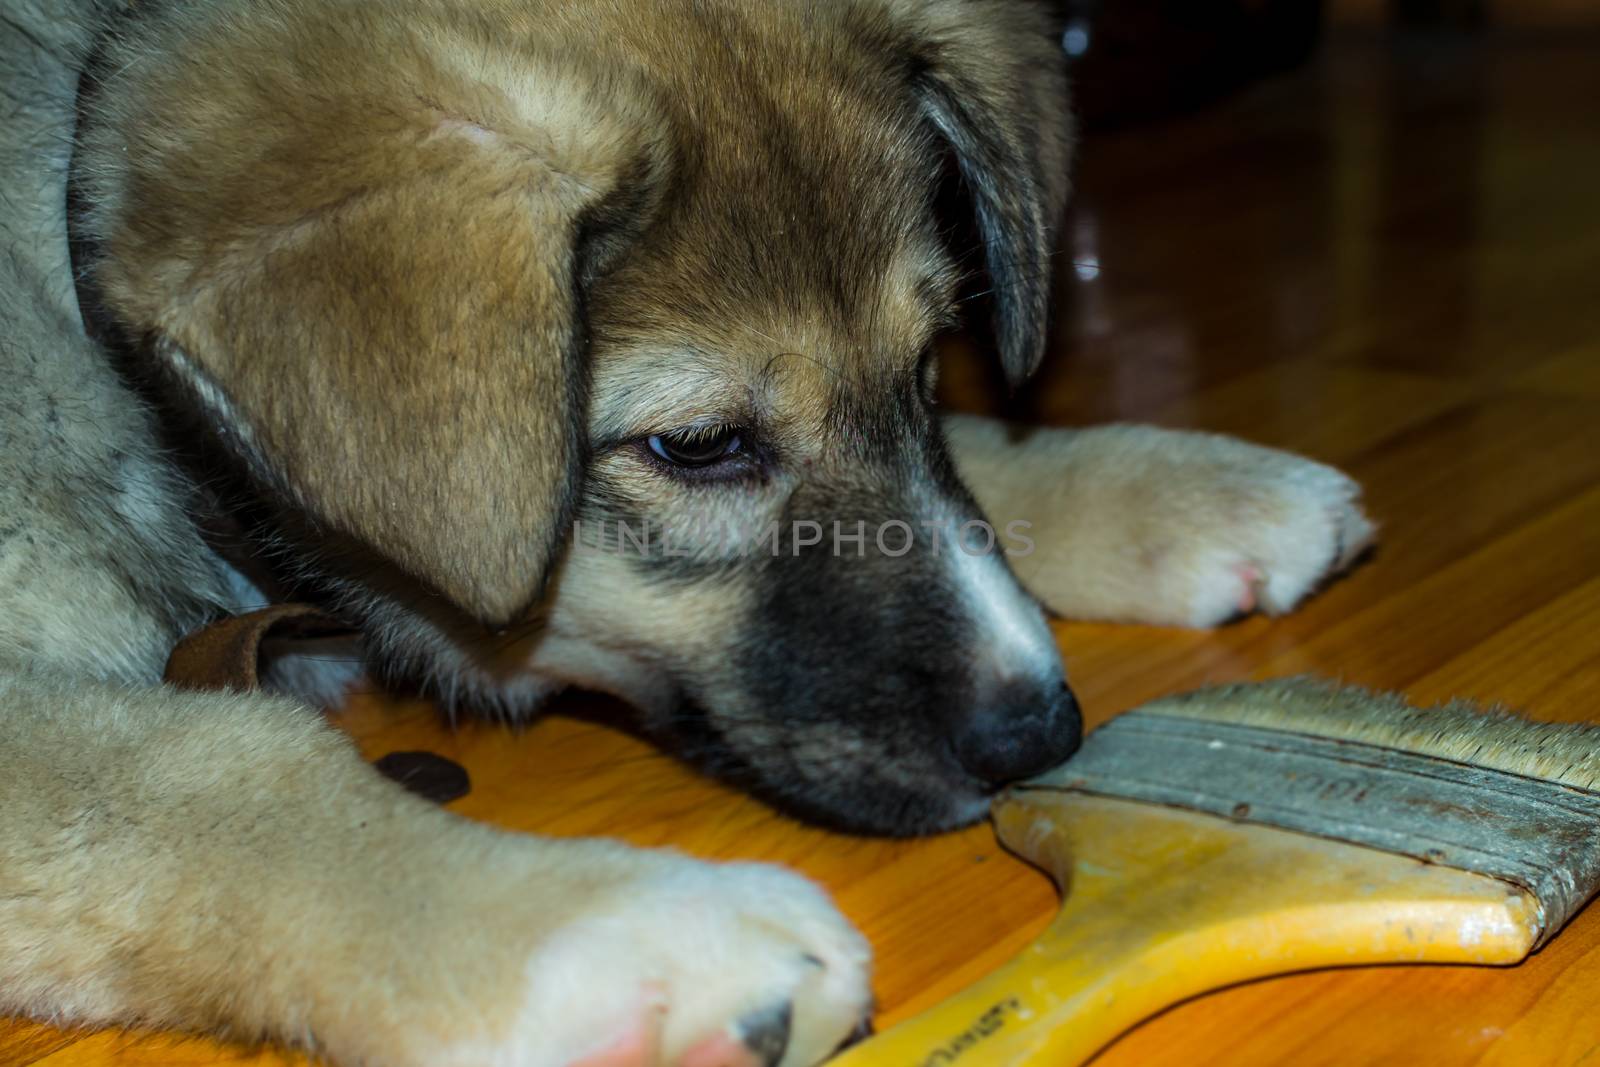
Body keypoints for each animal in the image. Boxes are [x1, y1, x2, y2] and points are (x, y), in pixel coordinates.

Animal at [3, 0, 1376, 1062]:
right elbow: (214, 766)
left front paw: (1169, 487)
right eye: (699, 444)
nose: (1043, 734)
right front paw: (618, 934)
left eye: (929, 361)